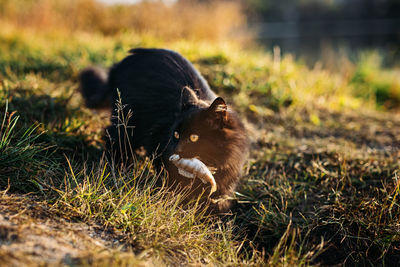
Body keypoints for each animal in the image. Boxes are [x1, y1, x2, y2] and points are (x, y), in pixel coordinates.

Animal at [78, 49, 247, 215]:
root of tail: (121, 63)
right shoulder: (158, 140)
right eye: (176, 135)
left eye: (194, 137)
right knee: (115, 142)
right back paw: (119, 170)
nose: (177, 150)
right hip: (126, 124)